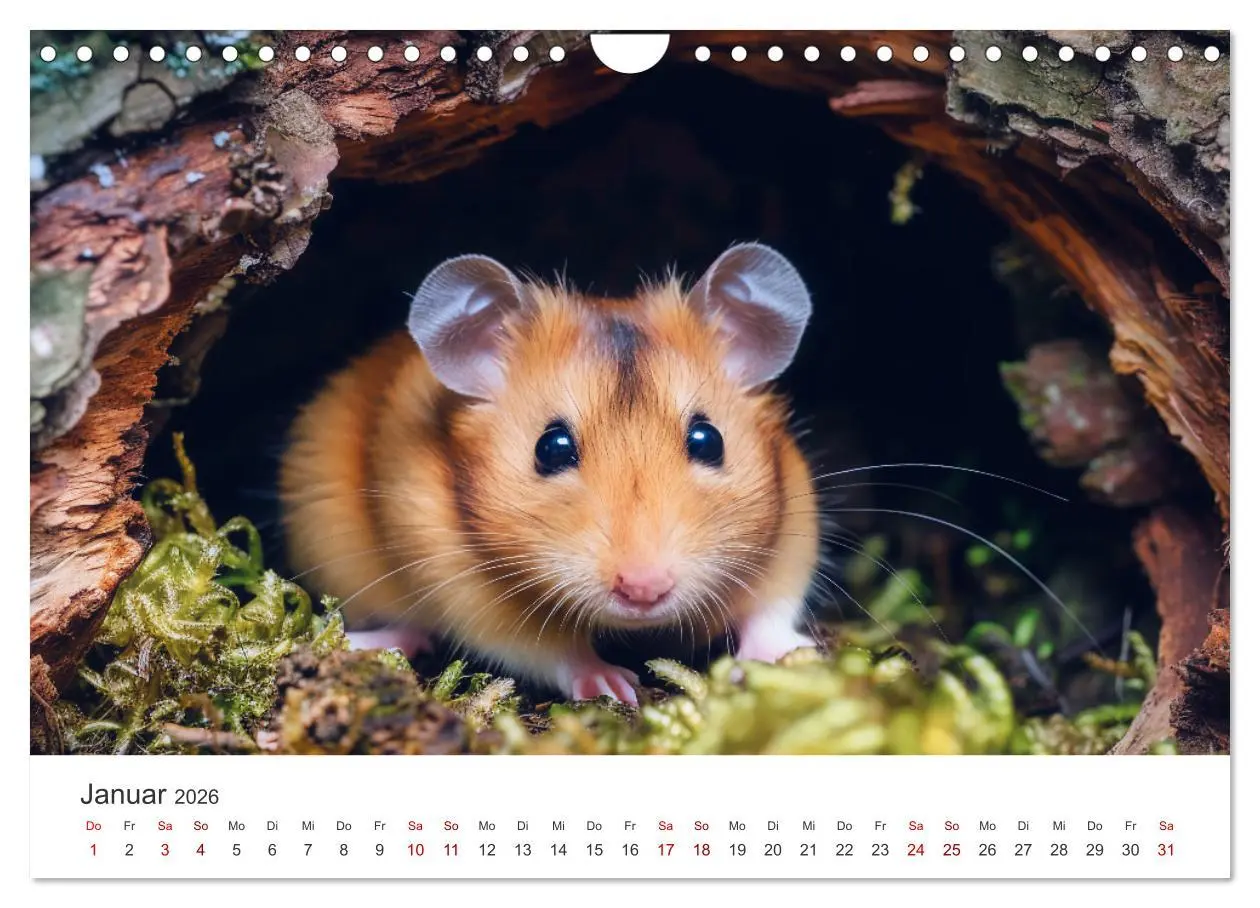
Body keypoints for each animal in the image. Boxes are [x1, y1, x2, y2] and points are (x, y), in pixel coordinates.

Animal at [279, 243, 820, 705]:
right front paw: (612, 685)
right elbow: (552, 649)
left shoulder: (794, 529)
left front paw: (792, 659)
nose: (643, 590)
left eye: (709, 440)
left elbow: (772, 610)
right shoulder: (470, 592)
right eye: (551, 448)